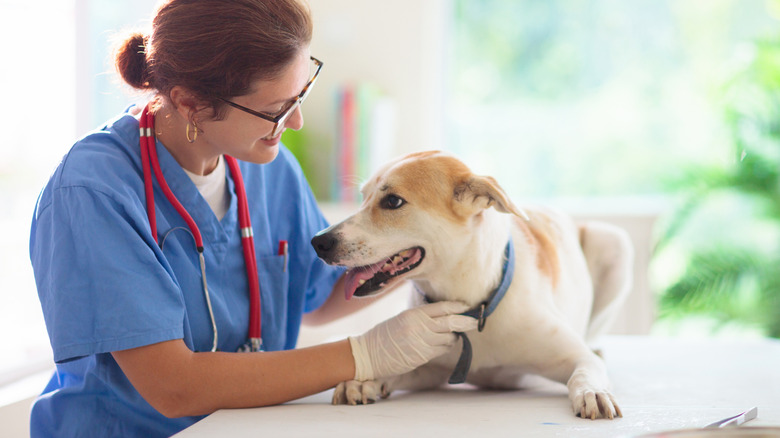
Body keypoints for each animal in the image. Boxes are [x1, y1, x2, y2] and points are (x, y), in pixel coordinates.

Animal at [310, 151, 632, 420]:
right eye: (363, 197)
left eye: (393, 202)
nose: (318, 242)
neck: (472, 305)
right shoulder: (431, 369)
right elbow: (395, 365)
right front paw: (364, 379)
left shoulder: (574, 356)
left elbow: (584, 371)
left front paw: (593, 392)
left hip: (615, 243)